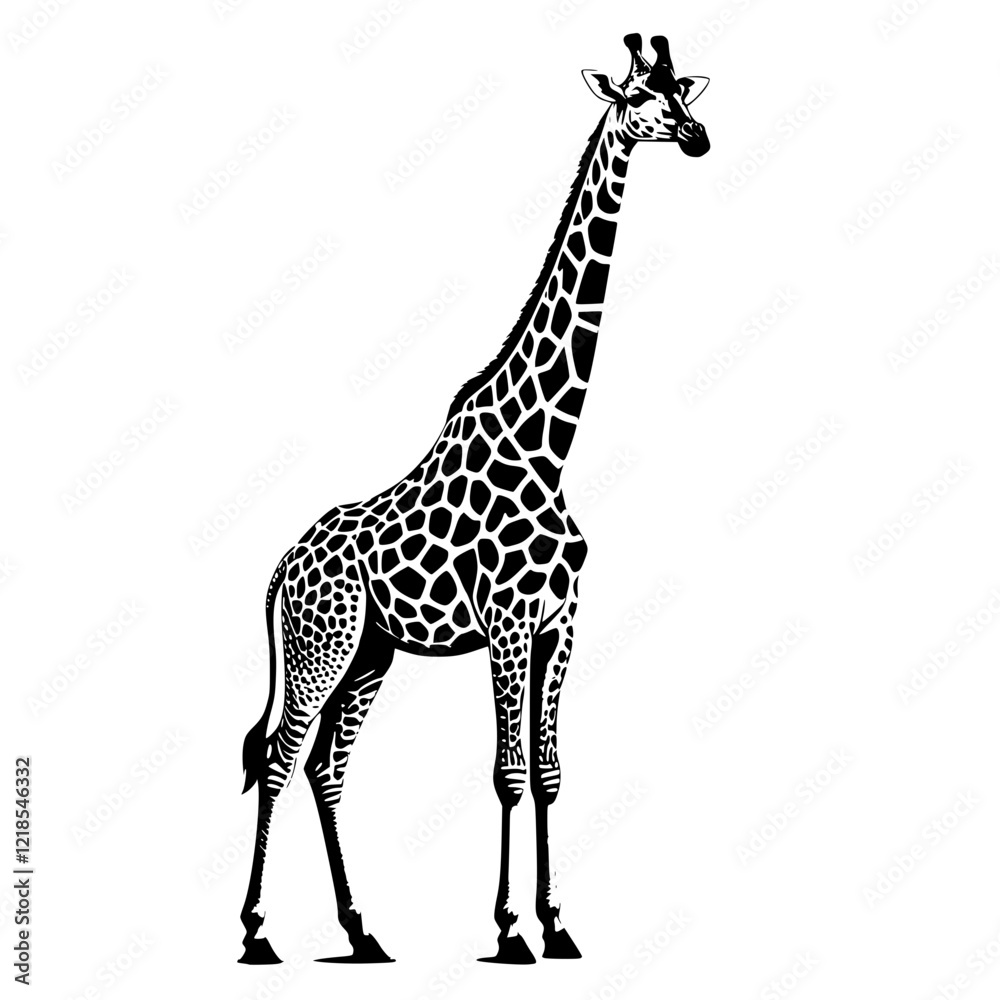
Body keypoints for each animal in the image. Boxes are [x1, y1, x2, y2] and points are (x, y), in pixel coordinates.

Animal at [238, 32, 710, 966]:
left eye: (682, 89)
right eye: (640, 96)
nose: (699, 135)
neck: (549, 445)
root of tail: (279, 568)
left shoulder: (561, 622)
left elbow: (551, 772)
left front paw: (558, 925)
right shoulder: (507, 623)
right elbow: (507, 774)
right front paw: (510, 929)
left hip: (369, 654)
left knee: (326, 767)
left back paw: (364, 931)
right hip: (319, 650)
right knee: (279, 757)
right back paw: (259, 931)